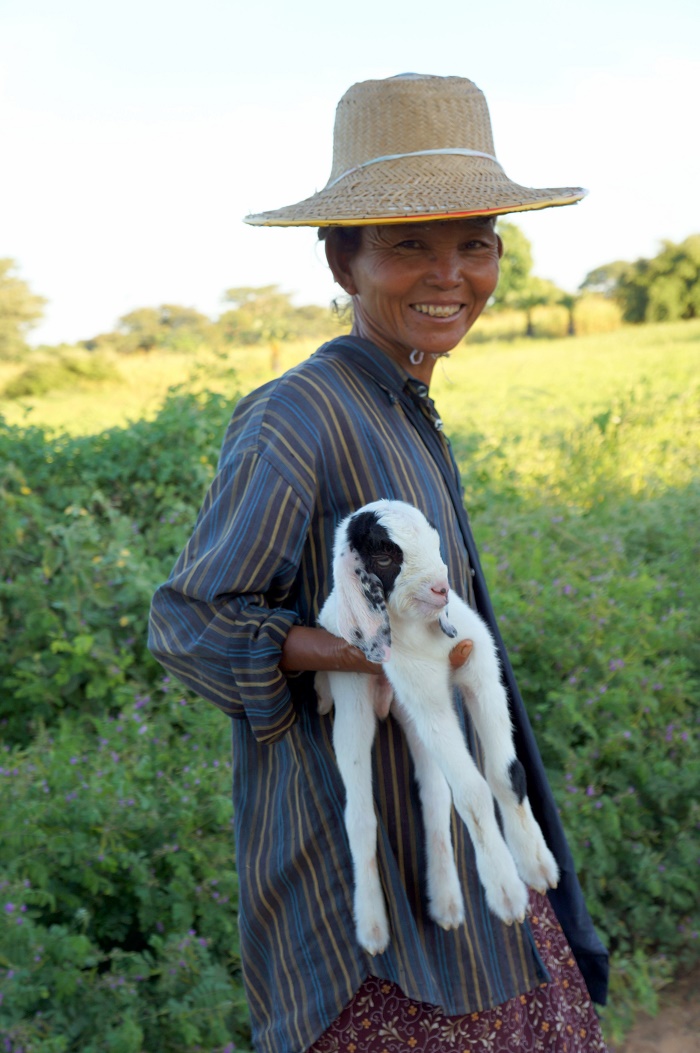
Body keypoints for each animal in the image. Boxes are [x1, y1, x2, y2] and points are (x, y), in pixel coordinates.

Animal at [315, 499, 555, 956]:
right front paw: (506, 889)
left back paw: (445, 901)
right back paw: (372, 925)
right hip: (355, 705)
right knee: (360, 816)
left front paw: (536, 863)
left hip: (411, 718)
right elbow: (473, 792)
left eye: (434, 542)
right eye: (385, 557)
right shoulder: (427, 699)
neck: (422, 630)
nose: (442, 589)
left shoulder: (479, 669)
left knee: (433, 793)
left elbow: (506, 773)